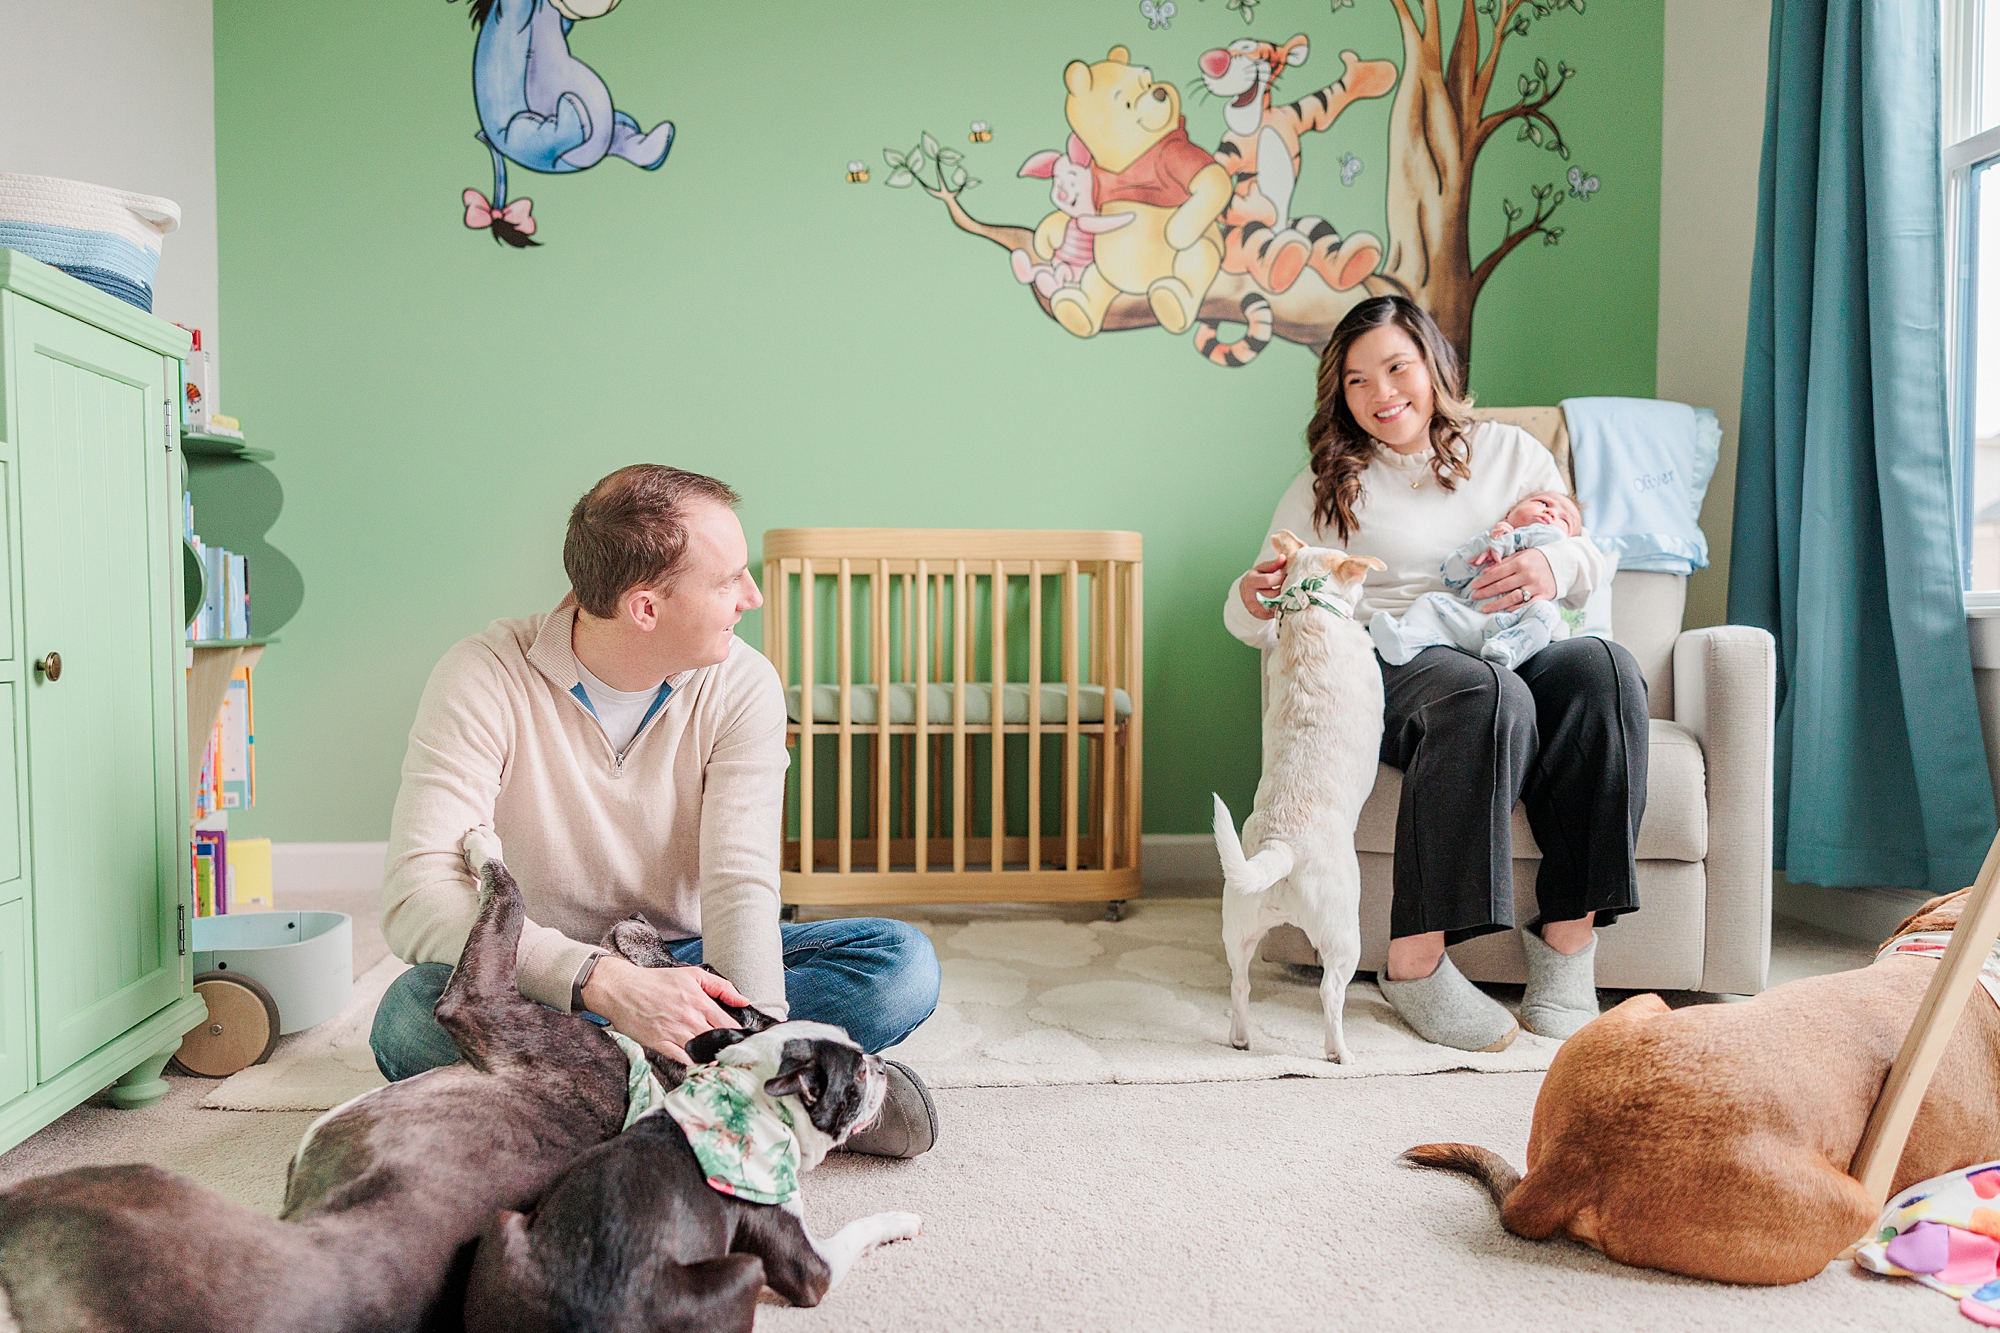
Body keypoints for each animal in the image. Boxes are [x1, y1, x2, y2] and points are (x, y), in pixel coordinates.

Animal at [462, 1012, 920, 1320]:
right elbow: (858, 1229)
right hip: (746, 1269)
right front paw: (900, 1220)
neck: (747, 1097)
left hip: (503, 1225)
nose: (879, 1064)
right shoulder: (811, 1268)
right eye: (858, 1074)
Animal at [1208, 528, 1384, 1056]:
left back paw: (1241, 1038)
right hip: (1344, 933)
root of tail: (1281, 847)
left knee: (1240, 984)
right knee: (1331, 992)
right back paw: (1339, 1052)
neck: (1309, 610)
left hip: (1238, 927)